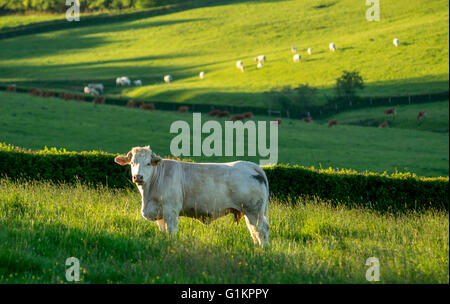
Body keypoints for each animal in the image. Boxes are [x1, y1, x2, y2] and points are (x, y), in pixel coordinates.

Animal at [116, 145, 270, 247]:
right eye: (132, 163)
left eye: (148, 163)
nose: (138, 177)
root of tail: (250, 165)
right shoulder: (160, 214)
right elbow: (164, 232)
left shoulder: (171, 211)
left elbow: (171, 232)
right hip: (249, 212)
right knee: (254, 230)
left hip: (254, 210)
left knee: (261, 229)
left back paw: (263, 250)